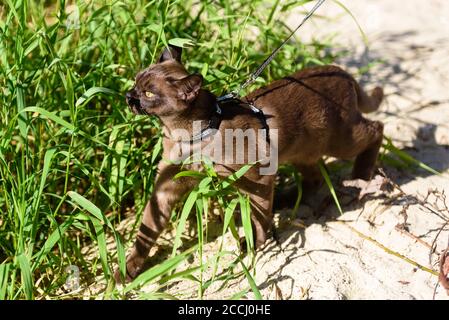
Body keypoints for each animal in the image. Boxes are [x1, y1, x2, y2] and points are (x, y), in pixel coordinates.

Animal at [114, 45, 382, 282]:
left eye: (149, 93)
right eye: (136, 82)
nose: (128, 96)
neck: (186, 137)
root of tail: (341, 71)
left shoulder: (258, 179)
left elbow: (258, 218)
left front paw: (253, 244)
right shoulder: (165, 188)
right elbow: (146, 232)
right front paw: (127, 272)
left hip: (341, 140)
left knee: (376, 128)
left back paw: (362, 175)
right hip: (303, 151)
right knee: (314, 178)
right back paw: (286, 198)